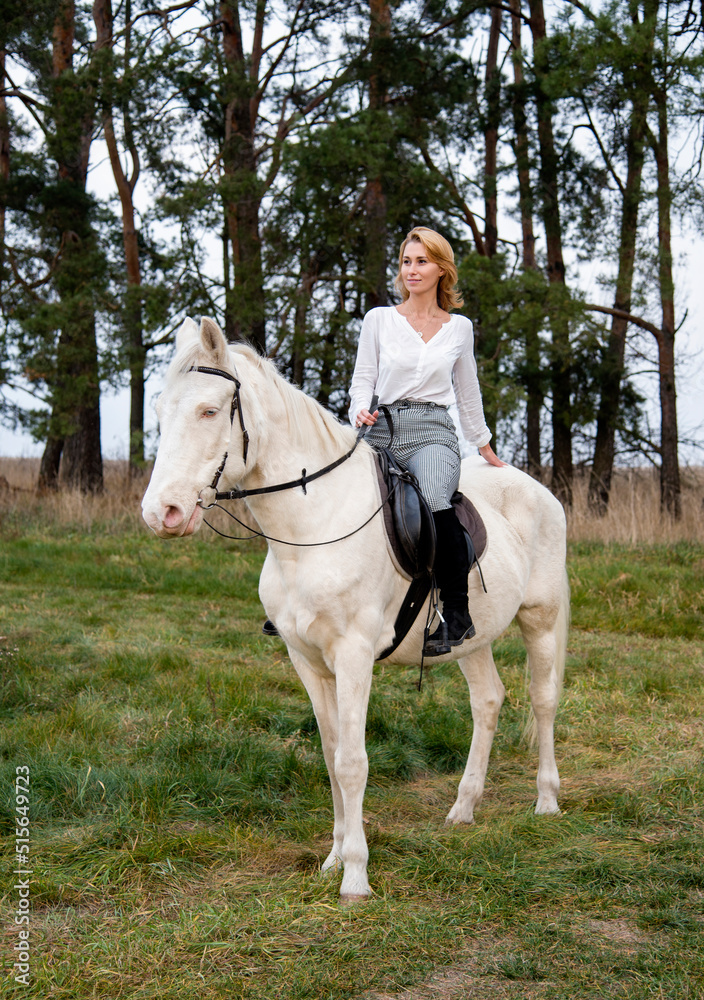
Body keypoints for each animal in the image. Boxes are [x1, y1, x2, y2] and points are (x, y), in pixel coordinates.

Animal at [142, 317, 569, 901]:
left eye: (209, 411)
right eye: (161, 413)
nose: (161, 513)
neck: (315, 523)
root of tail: (534, 488)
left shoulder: (353, 655)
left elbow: (351, 761)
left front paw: (356, 876)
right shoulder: (307, 661)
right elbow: (330, 755)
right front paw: (333, 858)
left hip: (541, 620)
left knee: (543, 701)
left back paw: (546, 801)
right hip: (472, 637)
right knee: (488, 701)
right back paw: (463, 808)